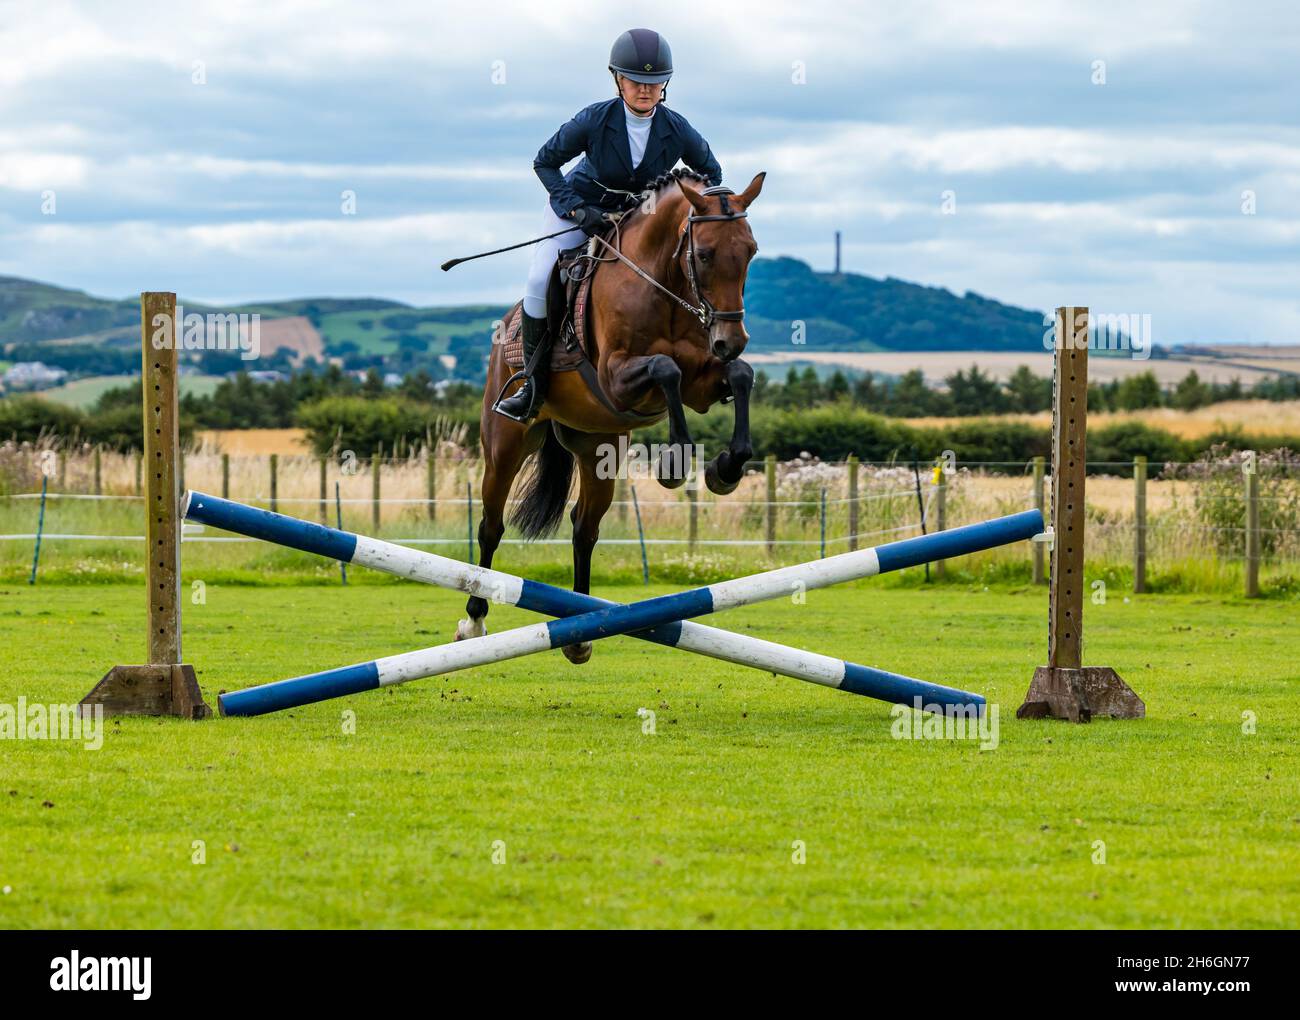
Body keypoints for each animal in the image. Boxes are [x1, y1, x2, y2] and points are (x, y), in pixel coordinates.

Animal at [457, 168, 759, 660]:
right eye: (705, 254)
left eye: (751, 251)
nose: (731, 339)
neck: (663, 282)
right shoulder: (617, 379)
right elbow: (666, 367)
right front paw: (675, 463)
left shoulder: (701, 380)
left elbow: (739, 375)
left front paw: (726, 468)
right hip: (505, 444)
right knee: (491, 526)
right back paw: (474, 619)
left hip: (600, 448)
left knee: (584, 528)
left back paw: (580, 631)